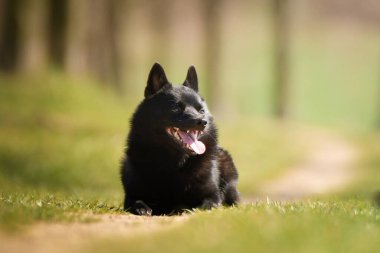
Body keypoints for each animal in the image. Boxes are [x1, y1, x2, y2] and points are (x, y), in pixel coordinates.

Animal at [121, 63, 239, 215]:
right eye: (176, 108)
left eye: (201, 110)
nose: (203, 121)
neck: (175, 164)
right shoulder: (131, 196)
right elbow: (136, 201)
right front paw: (142, 208)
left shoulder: (212, 196)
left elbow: (207, 205)